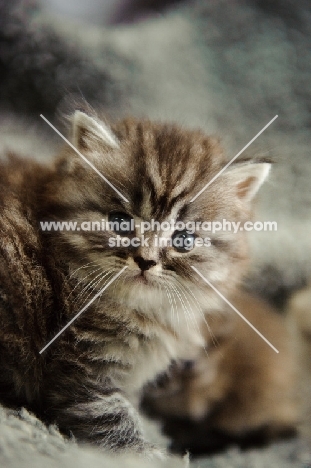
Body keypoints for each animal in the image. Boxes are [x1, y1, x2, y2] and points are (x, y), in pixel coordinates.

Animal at [0, 111, 270, 456]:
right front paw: (149, 453)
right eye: (121, 222)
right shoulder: (81, 364)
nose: (145, 260)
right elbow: (109, 416)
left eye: (183, 240)